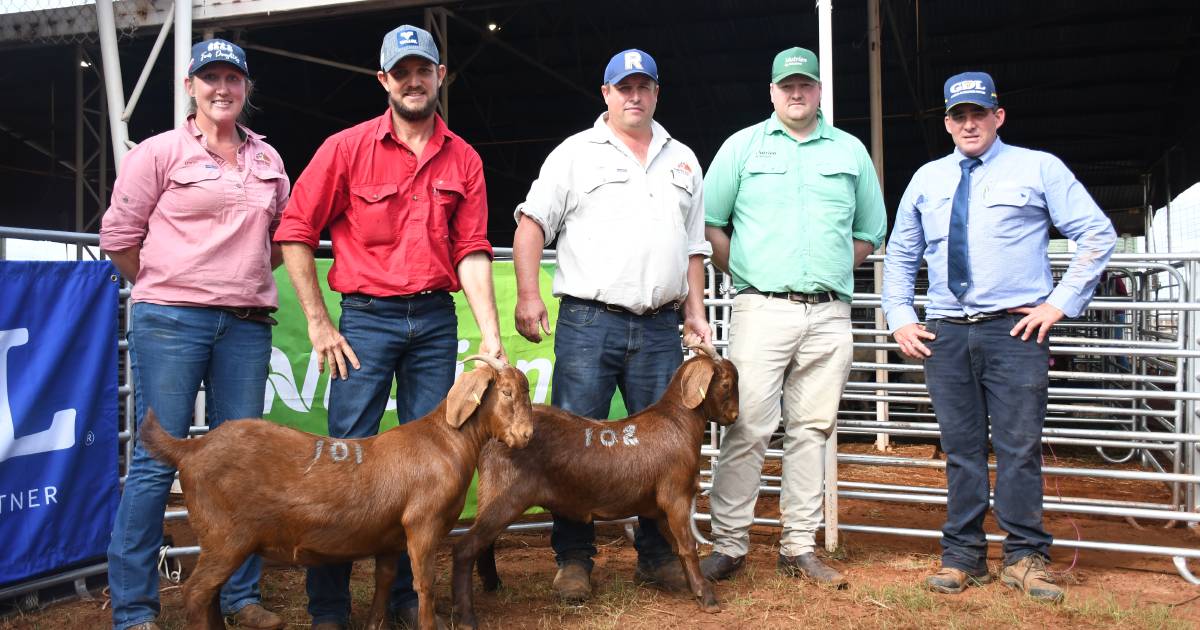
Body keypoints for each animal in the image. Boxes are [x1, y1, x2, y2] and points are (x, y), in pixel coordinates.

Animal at [139, 352, 530, 628]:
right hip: (225, 537)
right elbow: (425, 584)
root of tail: (191, 449)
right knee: (195, 593)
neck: (446, 441)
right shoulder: (422, 525)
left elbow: (384, 582)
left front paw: (374, 625)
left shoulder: (390, 538)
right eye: (507, 393)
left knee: (208, 595)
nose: (526, 436)